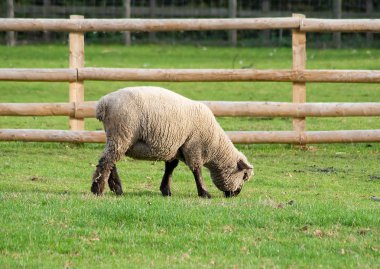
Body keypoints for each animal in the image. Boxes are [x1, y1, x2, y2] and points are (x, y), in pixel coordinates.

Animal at [90, 86, 254, 197]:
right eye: (244, 175)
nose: (236, 194)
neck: (214, 146)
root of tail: (103, 103)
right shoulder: (193, 146)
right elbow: (196, 170)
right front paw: (204, 192)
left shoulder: (176, 147)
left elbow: (170, 167)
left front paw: (166, 190)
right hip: (123, 132)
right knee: (106, 161)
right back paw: (98, 190)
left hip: (117, 136)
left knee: (110, 160)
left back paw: (116, 188)